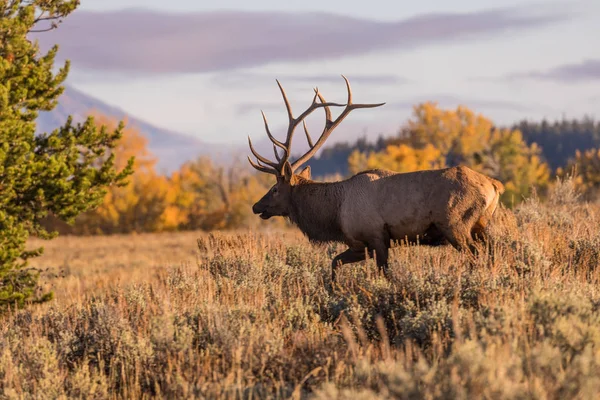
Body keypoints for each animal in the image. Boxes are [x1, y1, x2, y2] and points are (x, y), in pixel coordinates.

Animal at [248, 75, 506, 282]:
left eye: (274, 189)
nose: (255, 206)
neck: (334, 215)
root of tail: (494, 185)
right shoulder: (360, 245)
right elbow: (334, 262)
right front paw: (334, 287)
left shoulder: (376, 236)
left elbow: (384, 273)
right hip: (482, 225)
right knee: (494, 255)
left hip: (456, 225)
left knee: (476, 256)